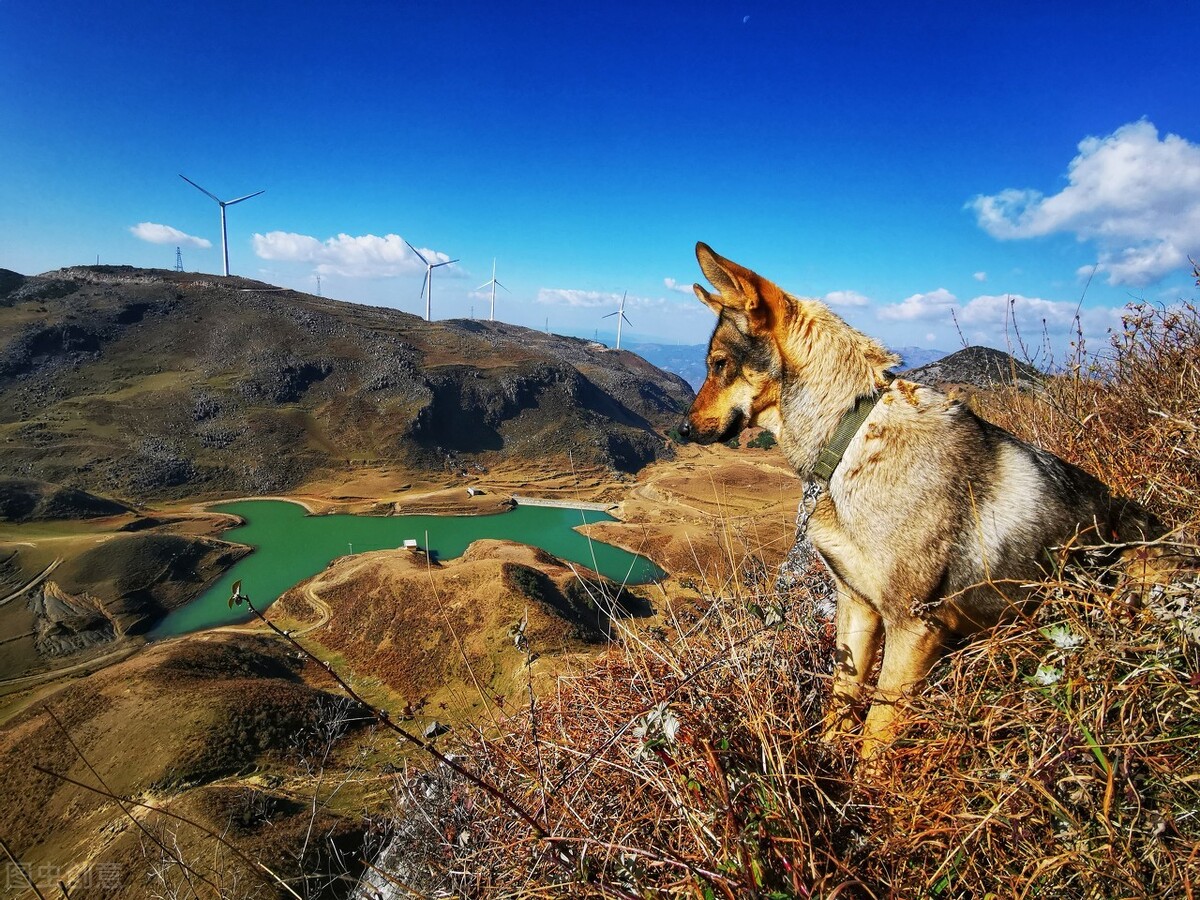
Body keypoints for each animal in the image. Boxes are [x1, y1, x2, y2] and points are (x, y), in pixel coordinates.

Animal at [681, 243, 1156, 758]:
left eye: (719, 364)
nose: (681, 430)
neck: (848, 436)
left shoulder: (912, 628)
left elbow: (875, 734)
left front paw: (863, 779)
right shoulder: (857, 605)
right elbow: (842, 701)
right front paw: (828, 767)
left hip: (1140, 564)